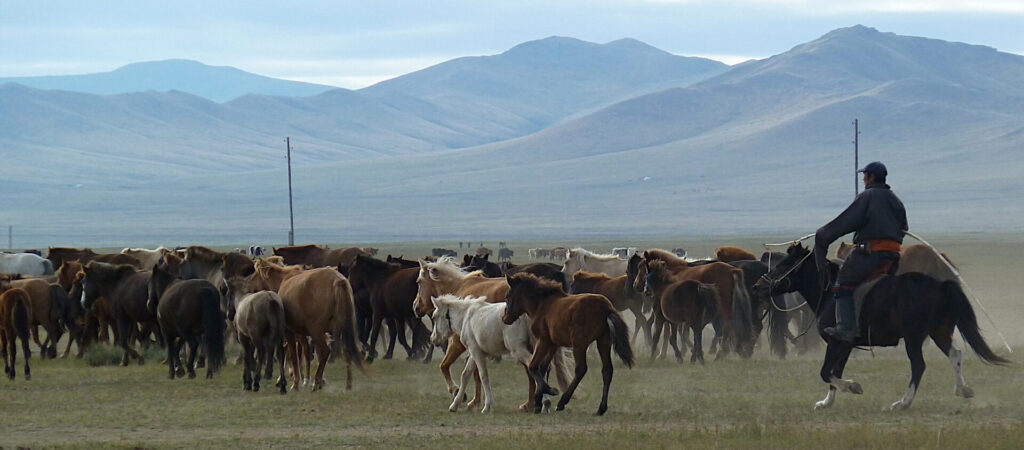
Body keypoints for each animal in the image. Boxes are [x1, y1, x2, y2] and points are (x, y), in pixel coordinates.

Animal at [430, 294, 571, 413]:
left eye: (434, 317)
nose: (433, 339)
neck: (466, 317)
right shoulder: (476, 352)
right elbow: (465, 375)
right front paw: (455, 404)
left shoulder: (476, 352)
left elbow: (483, 376)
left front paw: (487, 406)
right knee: (543, 368)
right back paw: (543, 403)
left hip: (518, 350)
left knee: (535, 367)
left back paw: (544, 402)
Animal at [503, 273, 634, 415]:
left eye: (508, 296)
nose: (505, 318)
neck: (542, 304)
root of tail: (606, 307)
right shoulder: (553, 344)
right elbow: (543, 368)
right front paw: (538, 403)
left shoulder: (543, 341)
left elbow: (533, 366)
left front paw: (549, 390)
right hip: (603, 341)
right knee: (607, 370)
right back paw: (601, 409)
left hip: (579, 343)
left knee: (581, 369)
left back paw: (562, 402)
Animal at [753, 243, 1009, 410]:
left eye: (783, 265)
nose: (757, 287)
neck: (828, 293)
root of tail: (940, 285)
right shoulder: (845, 345)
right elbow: (835, 371)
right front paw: (826, 402)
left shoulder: (836, 341)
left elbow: (826, 372)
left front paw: (852, 386)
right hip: (939, 333)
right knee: (955, 354)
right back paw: (962, 390)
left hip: (914, 337)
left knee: (919, 365)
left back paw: (903, 402)